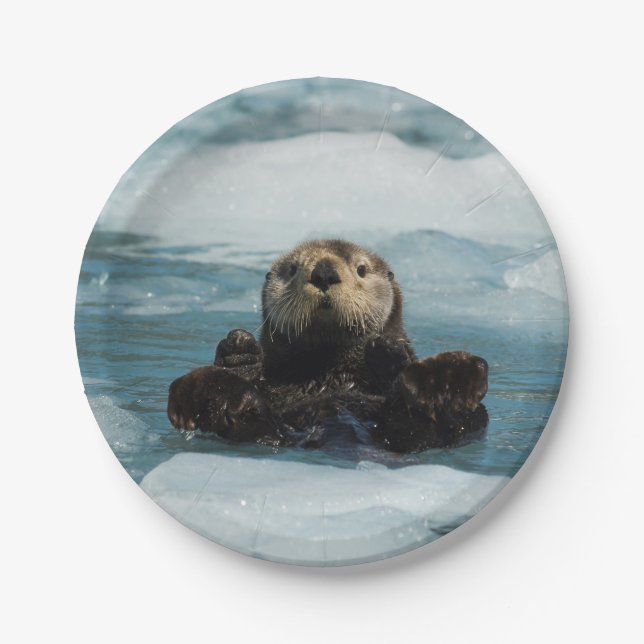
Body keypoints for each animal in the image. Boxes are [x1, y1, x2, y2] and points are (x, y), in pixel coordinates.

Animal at [167, 239, 489, 453]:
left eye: (361, 269)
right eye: (293, 269)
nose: (323, 273)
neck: (331, 374)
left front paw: (386, 350)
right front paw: (239, 352)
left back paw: (444, 381)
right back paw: (212, 392)